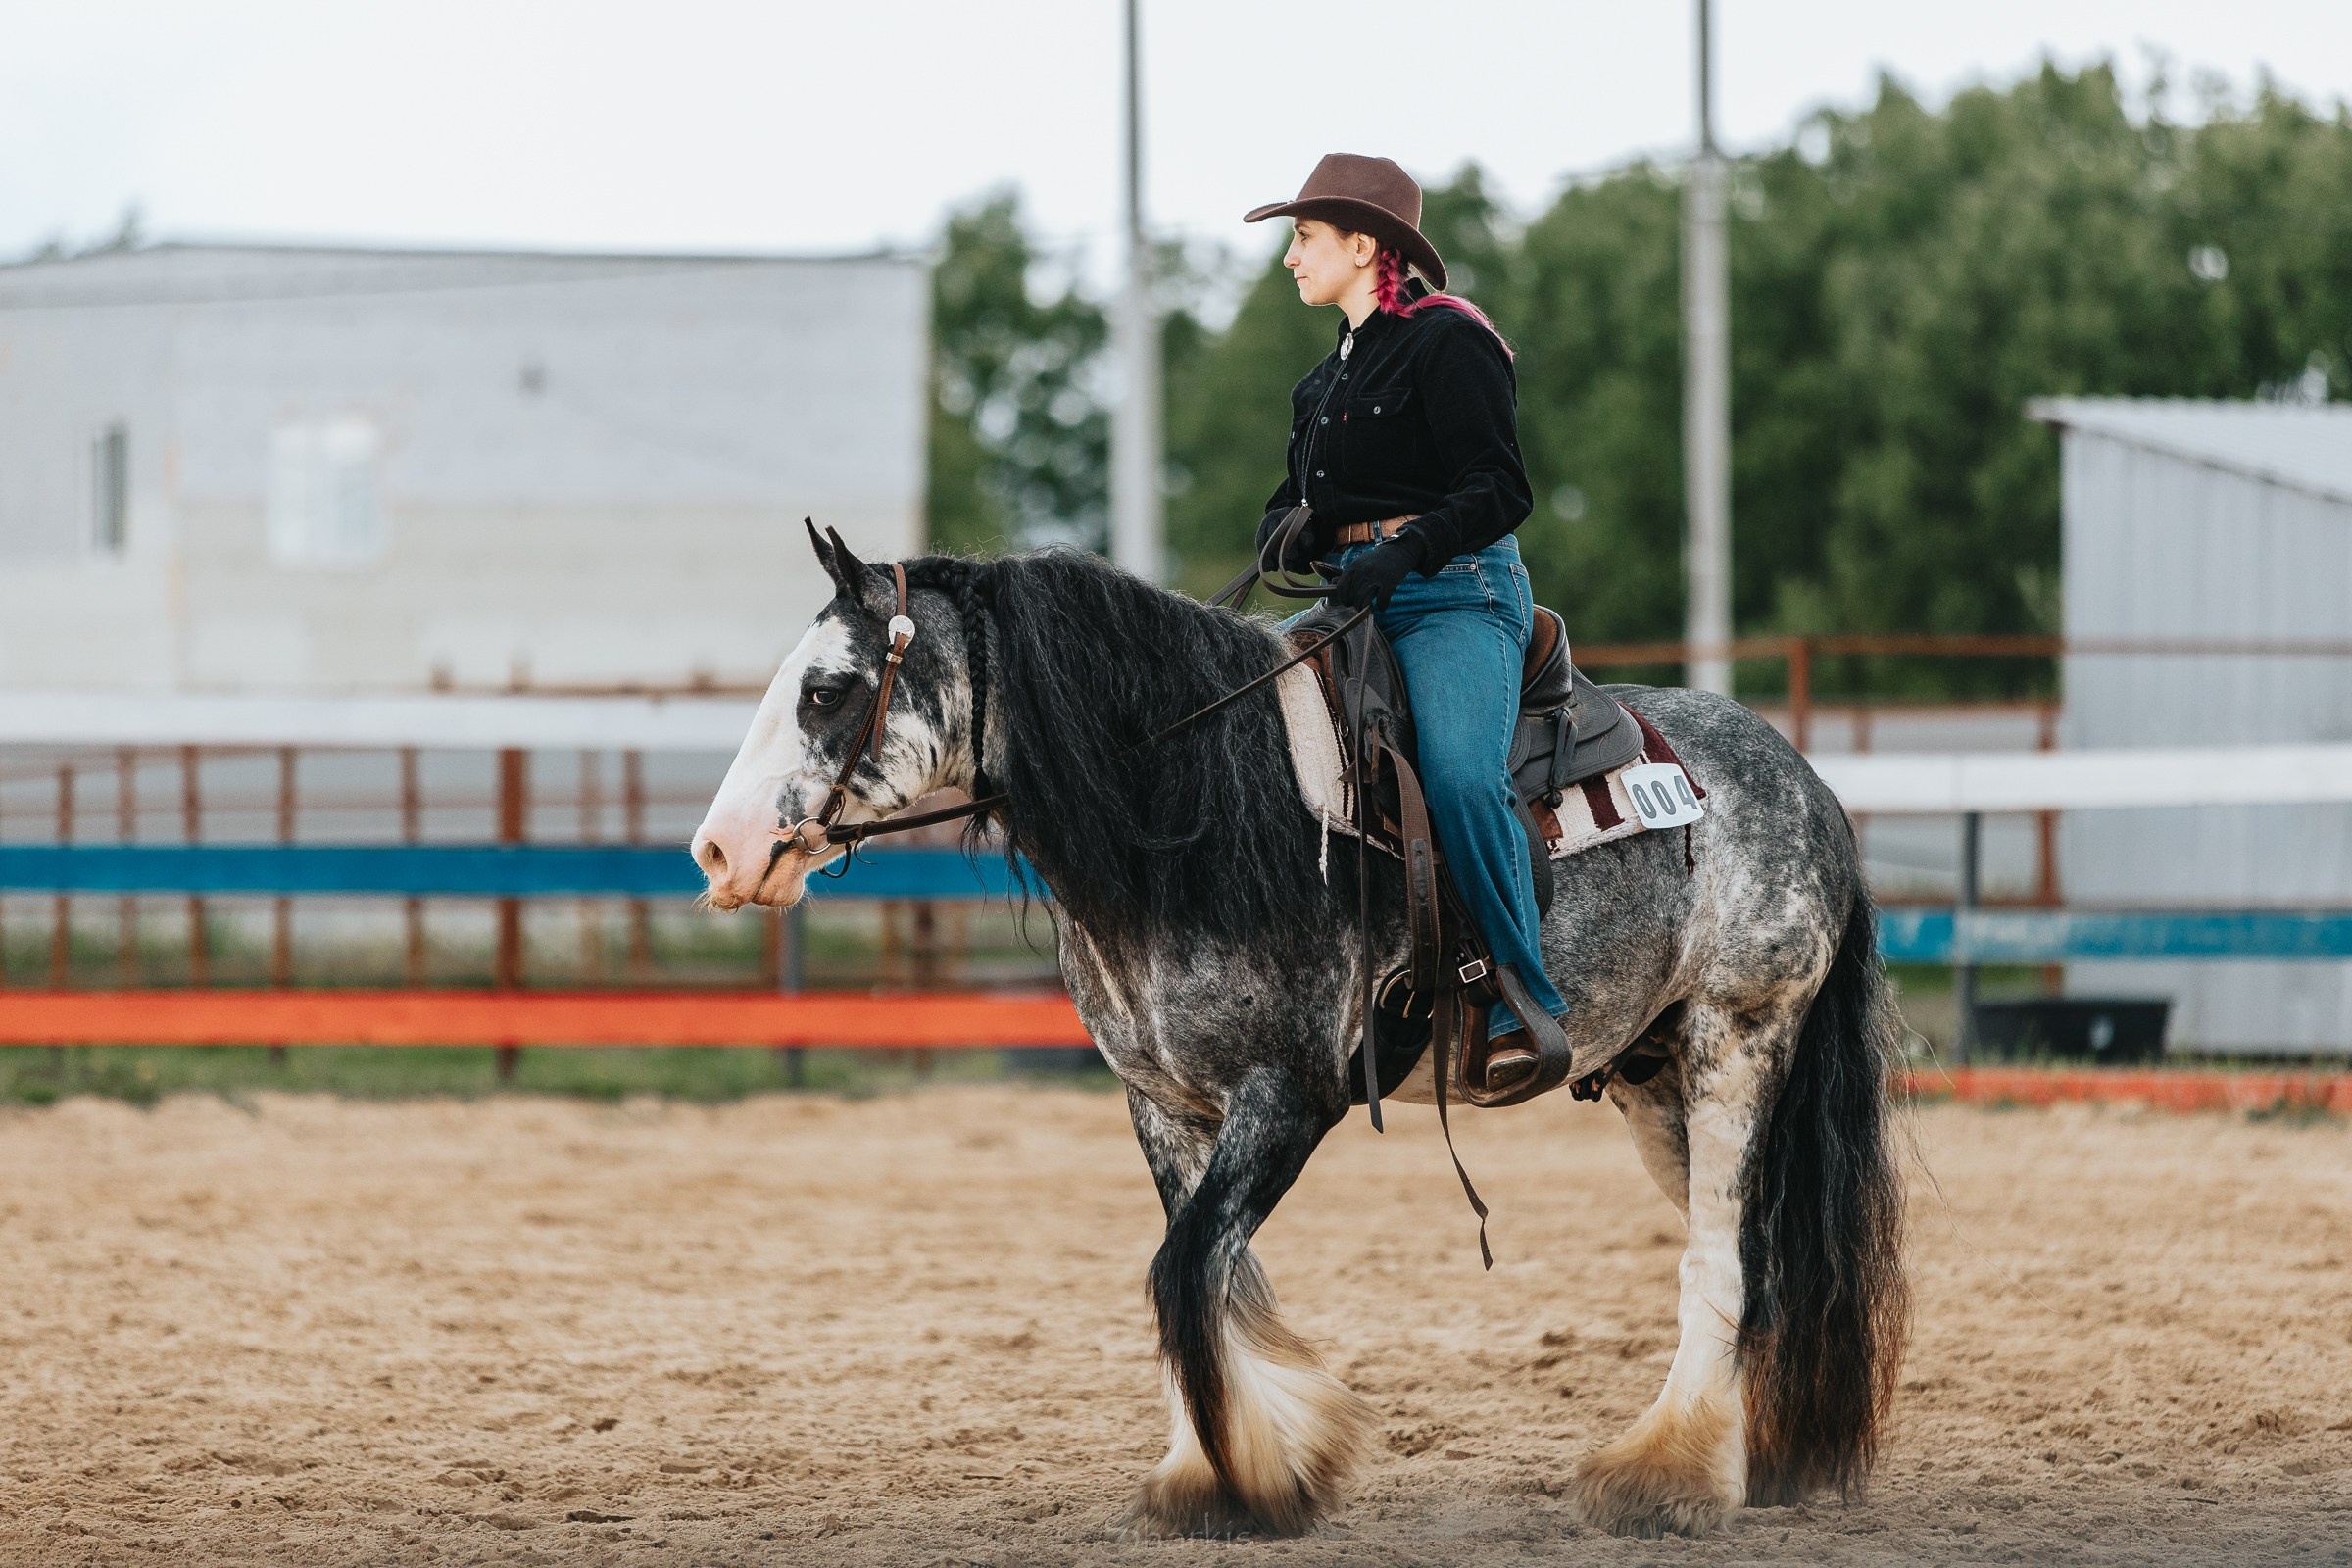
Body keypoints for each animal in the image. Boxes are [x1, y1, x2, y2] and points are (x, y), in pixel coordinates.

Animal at [691, 531, 1909, 1540]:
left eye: (827, 689)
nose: (718, 849)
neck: (1199, 810)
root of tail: (1804, 781)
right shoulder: (1166, 1104)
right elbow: (1213, 1274)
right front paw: (1224, 1467)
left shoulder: (1291, 1094)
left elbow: (1188, 1271)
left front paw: (1256, 1477)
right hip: (1653, 1081)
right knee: (1753, 1249)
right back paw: (1744, 1460)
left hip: (1735, 1040)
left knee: (1726, 1253)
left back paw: (1667, 1477)